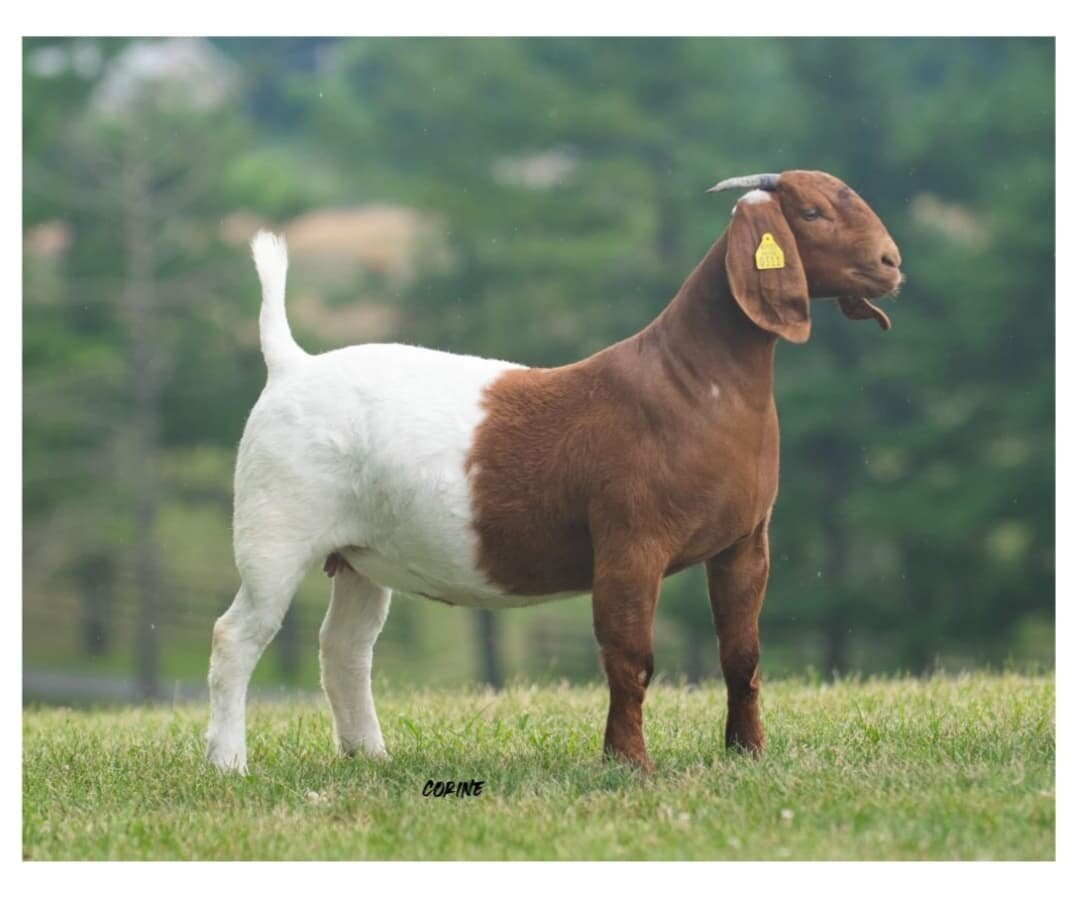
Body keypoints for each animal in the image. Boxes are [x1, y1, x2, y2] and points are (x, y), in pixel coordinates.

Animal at [206, 169, 902, 773]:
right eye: (810, 212)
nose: (892, 263)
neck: (692, 382)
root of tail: (291, 363)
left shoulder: (745, 542)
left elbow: (742, 654)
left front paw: (748, 754)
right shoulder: (630, 542)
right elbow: (630, 657)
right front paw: (628, 764)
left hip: (358, 556)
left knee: (345, 648)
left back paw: (369, 756)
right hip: (276, 531)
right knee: (236, 636)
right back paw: (229, 762)